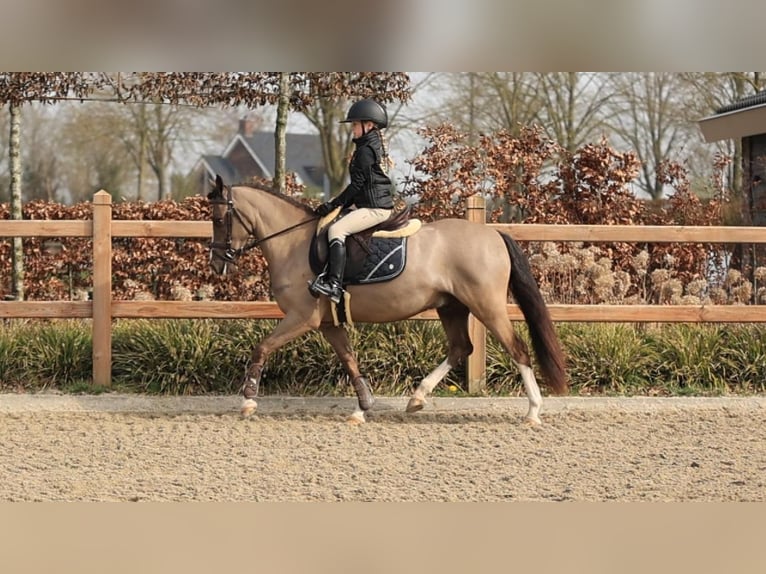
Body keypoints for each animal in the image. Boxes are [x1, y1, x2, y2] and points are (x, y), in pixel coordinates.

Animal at [207, 175, 568, 424]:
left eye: (218, 219)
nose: (217, 263)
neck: (292, 242)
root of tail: (492, 233)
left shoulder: (301, 318)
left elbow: (262, 347)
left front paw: (248, 400)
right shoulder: (327, 323)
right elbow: (350, 360)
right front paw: (362, 409)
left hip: (487, 307)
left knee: (517, 349)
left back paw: (533, 412)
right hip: (451, 306)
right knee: (460, 348)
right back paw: (417, 399)